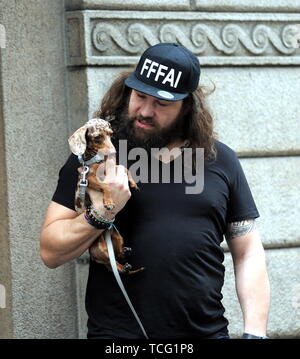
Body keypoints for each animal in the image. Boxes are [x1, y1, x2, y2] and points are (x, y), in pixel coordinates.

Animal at [68, 119, 144, 276]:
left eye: (110, 134)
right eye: (97, 137)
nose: (114, 152)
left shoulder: (114, 168)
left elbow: (124, 168)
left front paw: (133, 183)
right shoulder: (90, 179)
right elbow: (106, 186)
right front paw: (108, 202)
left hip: (118, 236)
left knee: (118, 255)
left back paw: (125, 253)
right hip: (101, 250)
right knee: (111, 263)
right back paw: (123, 267)